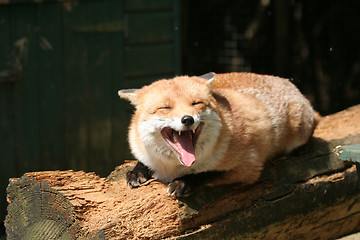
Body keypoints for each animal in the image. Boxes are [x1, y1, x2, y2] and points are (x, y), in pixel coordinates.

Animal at [118, 72, 318, 198]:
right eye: (165, 107)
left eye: (196, 103)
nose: (187, 119)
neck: (172, 168)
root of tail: (286, 81)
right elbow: (143, 162)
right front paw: (136, 172)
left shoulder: (249, 166)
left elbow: (208, 173)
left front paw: (183, 182)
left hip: (299, 127)